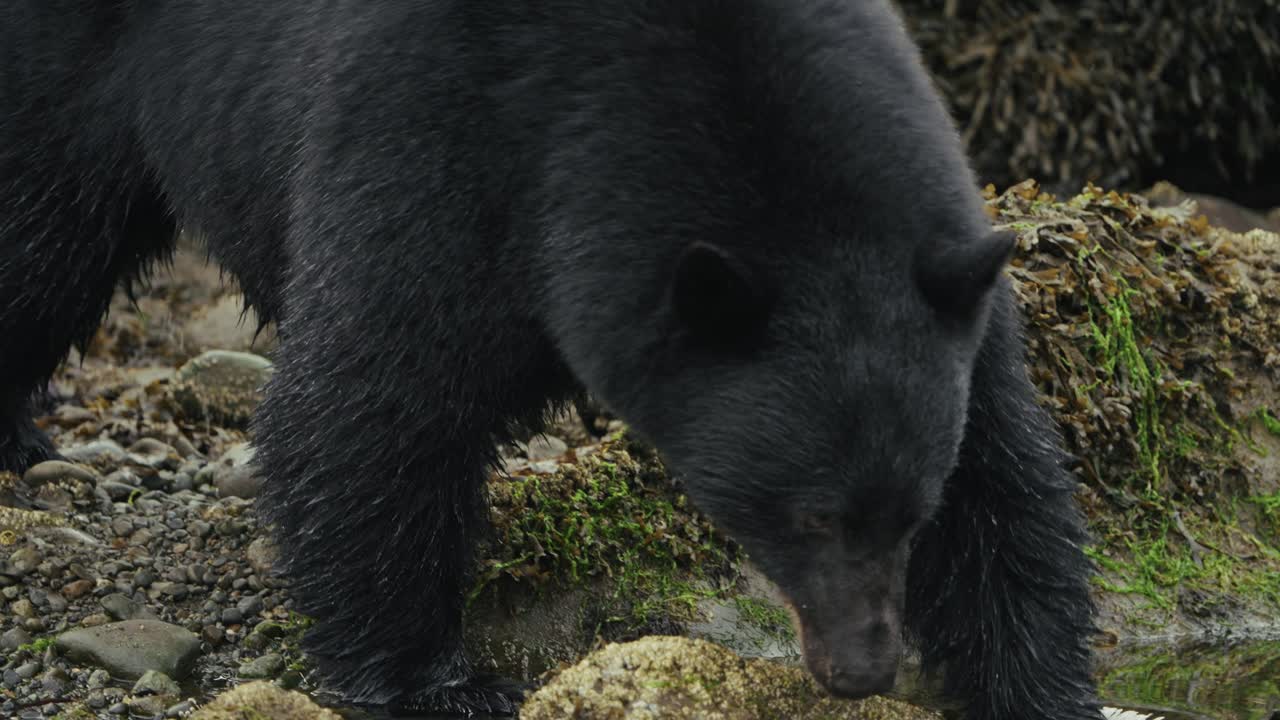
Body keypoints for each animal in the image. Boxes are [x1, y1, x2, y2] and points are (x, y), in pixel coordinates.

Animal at [0, 0, 1103, 718]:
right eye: (809, 517)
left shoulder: (937, 270)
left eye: (909, 512)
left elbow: (1003, 470)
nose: (863, 670)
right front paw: (432, 681)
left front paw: (1035, 685)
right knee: (38, 241)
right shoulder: (440, 136)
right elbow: (373, 403)